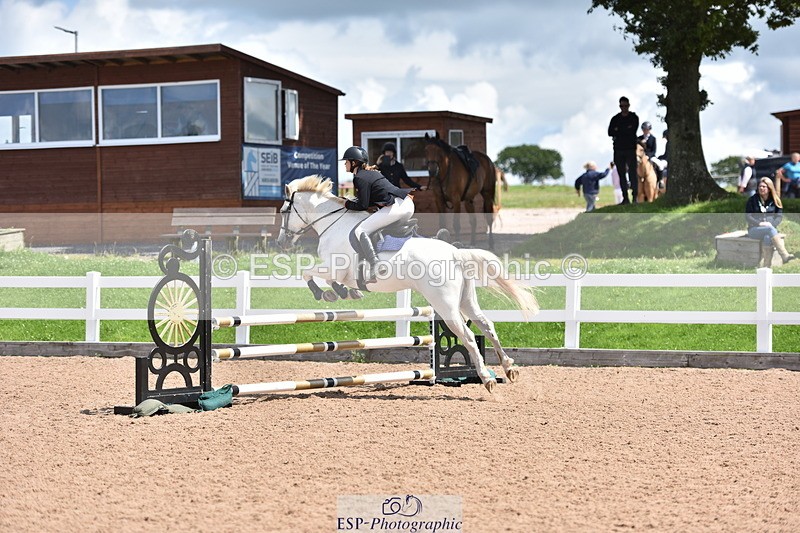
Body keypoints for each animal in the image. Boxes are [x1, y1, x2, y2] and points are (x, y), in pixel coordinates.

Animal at [276, 175, 539, 392]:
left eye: (284, 211)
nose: (282, 242)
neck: (334, 223)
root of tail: (455, 253)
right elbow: (325, 279)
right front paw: (343, 293)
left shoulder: (335, 267)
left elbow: (309, 273)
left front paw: (327, 294)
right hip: (466, 300)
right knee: (487, 325)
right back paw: (508, 367)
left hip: (445, 305)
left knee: (467, 336)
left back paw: (486, 378)